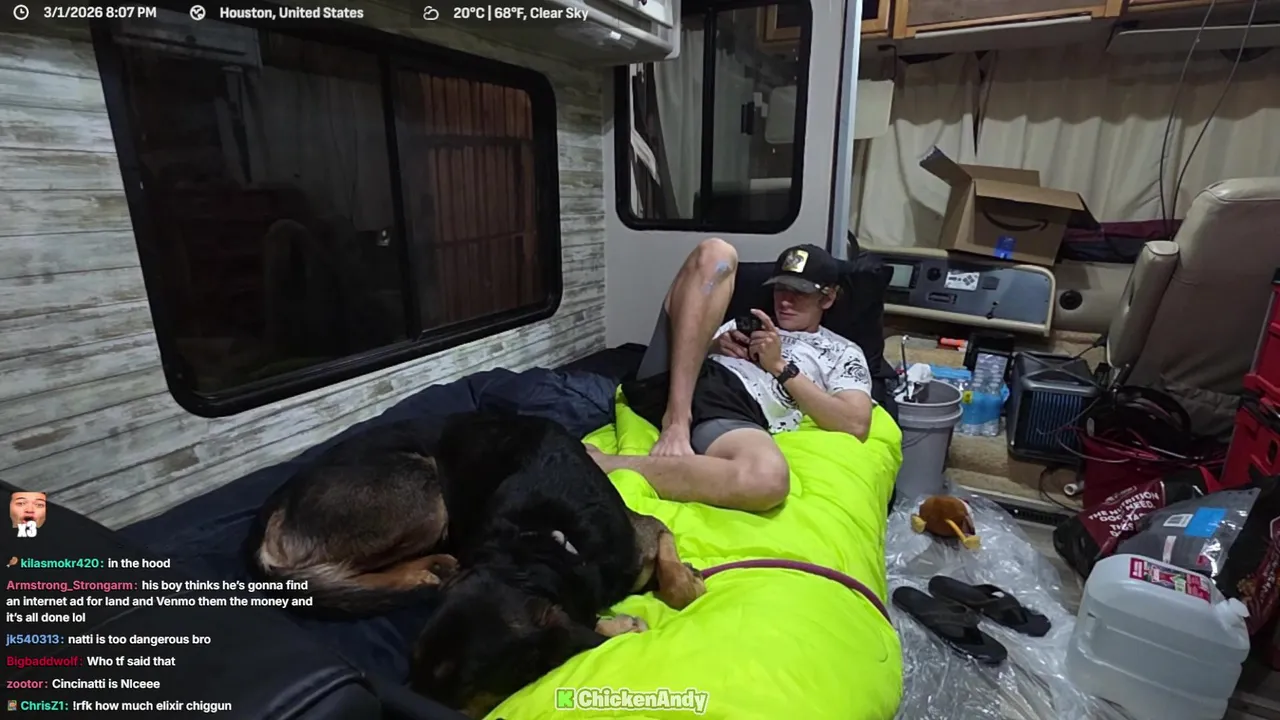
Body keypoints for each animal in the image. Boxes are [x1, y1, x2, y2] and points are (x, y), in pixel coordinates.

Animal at [409, 411, 706, 718]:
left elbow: (679, 585)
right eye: (413, 660)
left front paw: (689, 579)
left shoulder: (642, 536)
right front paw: (623, 626)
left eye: (468, 683)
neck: (538, 548)